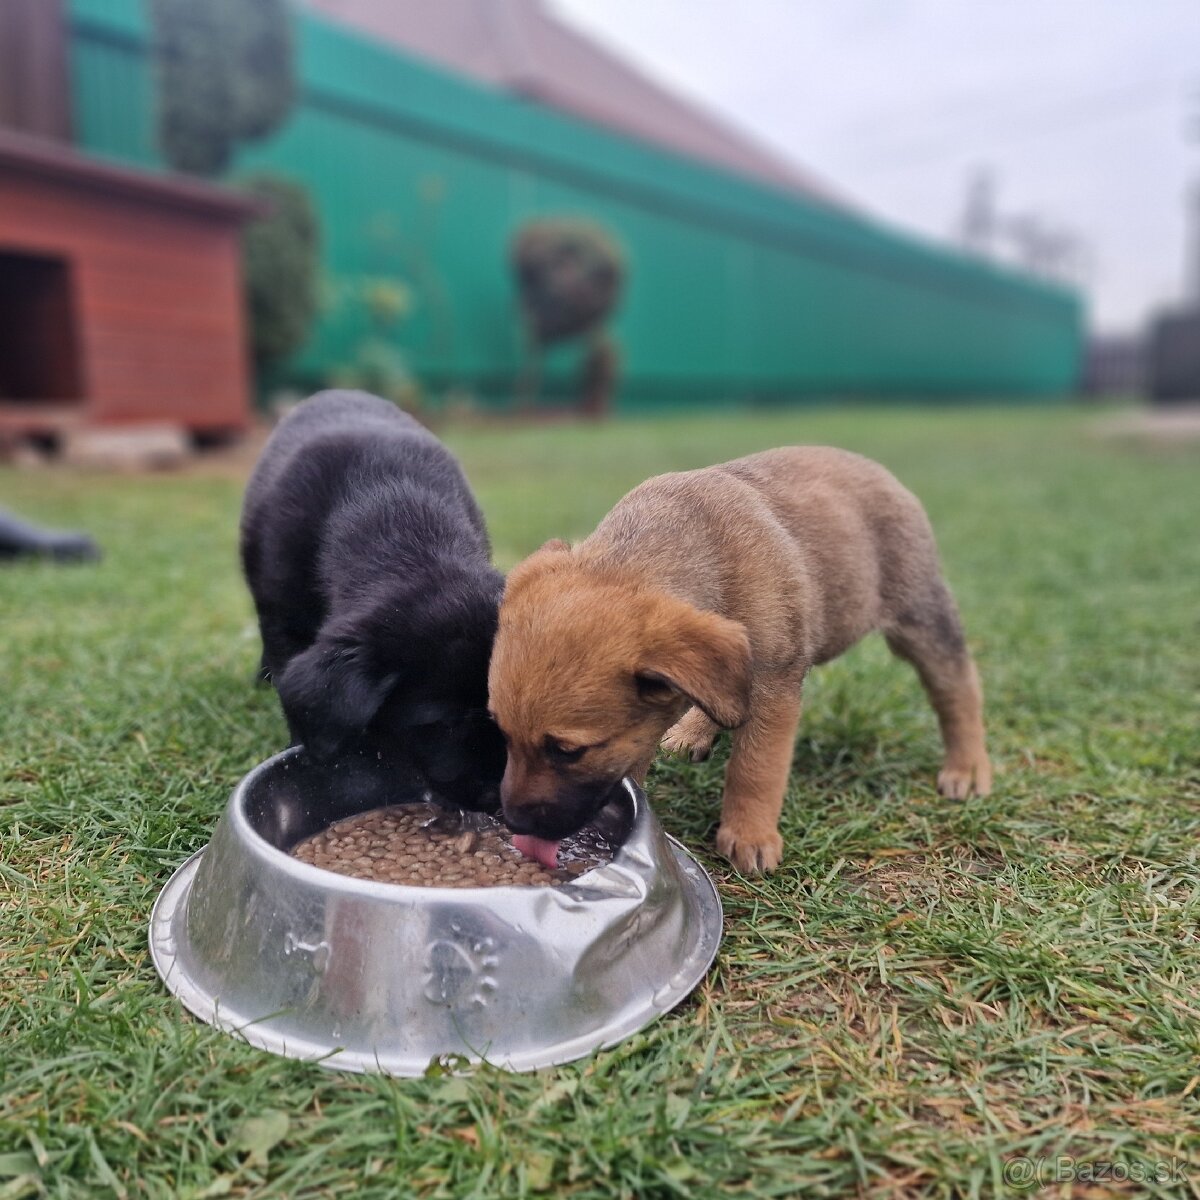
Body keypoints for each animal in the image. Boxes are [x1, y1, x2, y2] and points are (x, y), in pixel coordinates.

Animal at [487, 451, 993, 873]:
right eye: (502, 734)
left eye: (568, 751)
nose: (512, 823)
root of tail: (876, 469)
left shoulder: (774, 686)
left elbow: (755, 766)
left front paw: (749, 834)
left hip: (921, 617)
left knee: (957, 687)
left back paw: (967, 766)